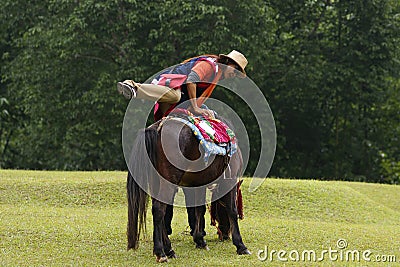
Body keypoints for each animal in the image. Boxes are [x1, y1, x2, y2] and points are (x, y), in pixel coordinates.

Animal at [126, 115, 250, 264]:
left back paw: (169, 250)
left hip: (157, 182)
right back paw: (161, 252)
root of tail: (157, 128)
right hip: (168, 182)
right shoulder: (229, 180)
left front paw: (200, 240)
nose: (225, 235)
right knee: (159, 210)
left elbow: (199, 210)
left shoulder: (199, 184)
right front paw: (240, 245)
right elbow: (232, 210)